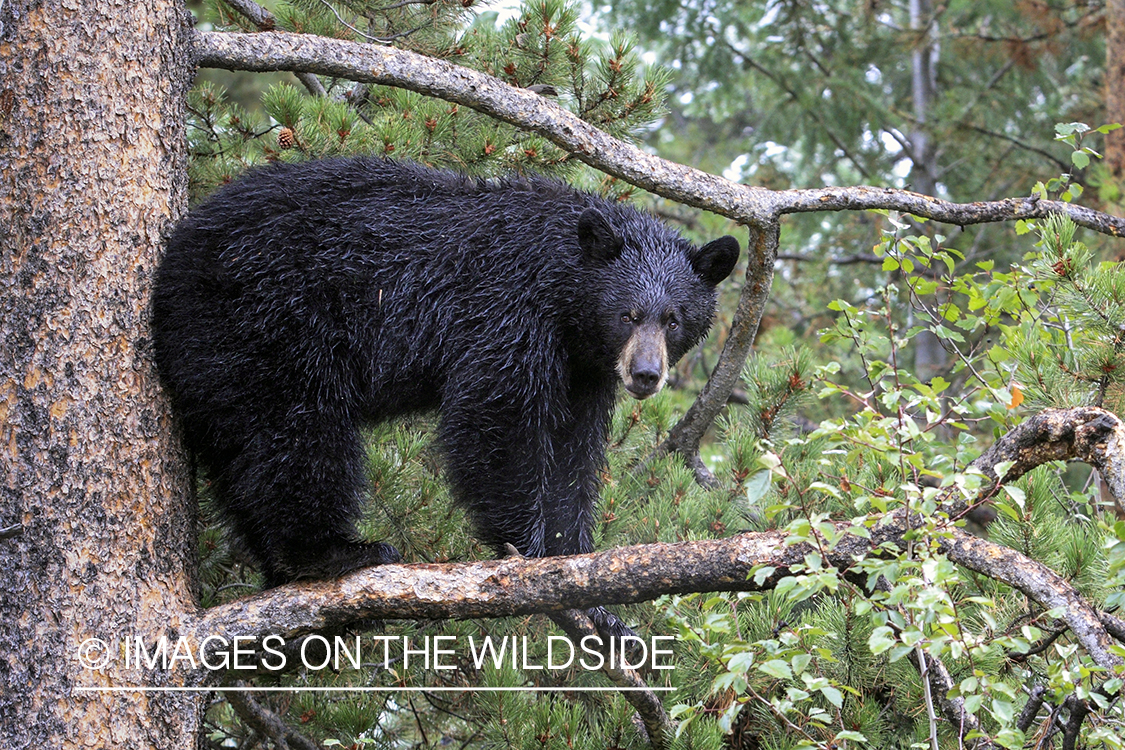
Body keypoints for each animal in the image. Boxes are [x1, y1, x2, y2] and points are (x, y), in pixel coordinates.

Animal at [154, 157, 742, 634]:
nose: (645, 374)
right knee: (297, 432)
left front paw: (592, 589)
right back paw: (332, 552)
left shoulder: (583, 371)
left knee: (242, 454)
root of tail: (173, 266)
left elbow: (573, 454)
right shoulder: (506, 310)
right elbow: (497, 418)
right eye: (627, 314)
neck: (563, 295)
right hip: (268, 321)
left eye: (673, 319)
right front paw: (530, 555)